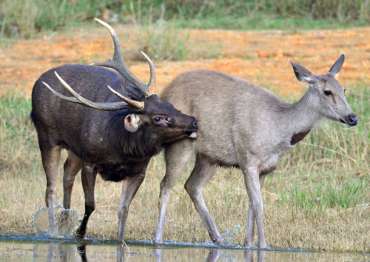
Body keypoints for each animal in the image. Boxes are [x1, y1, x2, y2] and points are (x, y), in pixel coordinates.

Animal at [30, 18, 198, 242]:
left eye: (170, 105)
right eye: (158, 118)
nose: (194, 121)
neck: (119, 146)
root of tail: (37, 82)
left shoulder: (138, 171)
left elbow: (123, 209)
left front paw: (120, 241)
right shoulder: (91, 162)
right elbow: (90, 204)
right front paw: (79, 233)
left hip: (75, 148)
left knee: (67, 174)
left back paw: (65, 219)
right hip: (47, 136)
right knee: (50, 188)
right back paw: (55, 231)